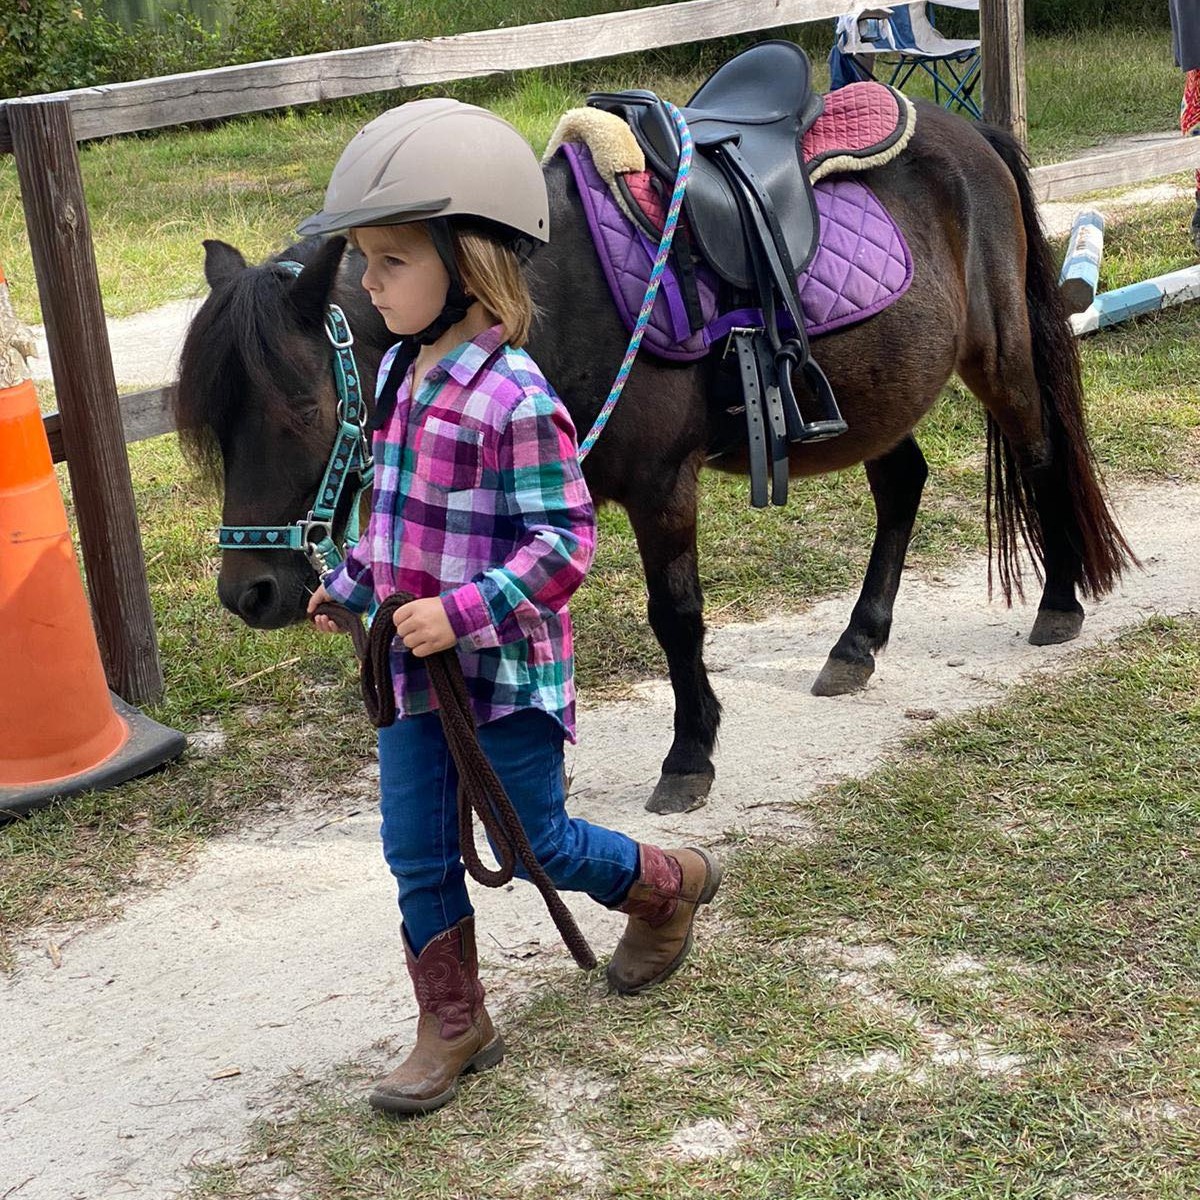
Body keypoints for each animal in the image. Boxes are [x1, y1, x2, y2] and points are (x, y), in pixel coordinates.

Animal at [174, 98, 1132, 816]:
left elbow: (675, 617)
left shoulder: (661, 487)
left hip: (997, 358)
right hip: (879, 394)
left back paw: (1057, 604)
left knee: (1041, 453)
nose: (249, 592)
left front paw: (689, 756)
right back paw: (855, 645)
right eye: (215, 423)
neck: (548, 296)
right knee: (903, 488)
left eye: (304, 407)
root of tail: (971, 135)